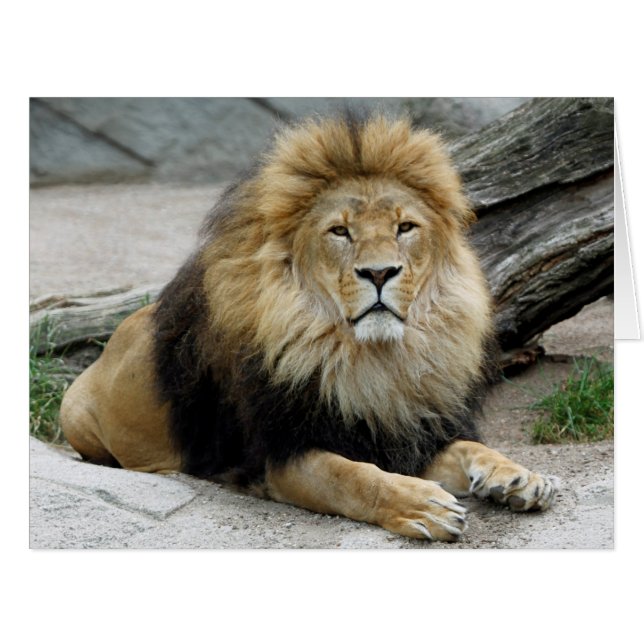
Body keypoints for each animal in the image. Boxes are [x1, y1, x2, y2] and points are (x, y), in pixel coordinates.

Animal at [60, 112, 558, 541]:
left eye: (405, 227)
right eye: (340, 231)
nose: (379, 273)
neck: (374, 360)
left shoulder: (404, 431)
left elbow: (469, 447)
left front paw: (516, 476)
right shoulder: (278, 455)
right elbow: (354, 477)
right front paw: (423, 505)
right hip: (75, 414)